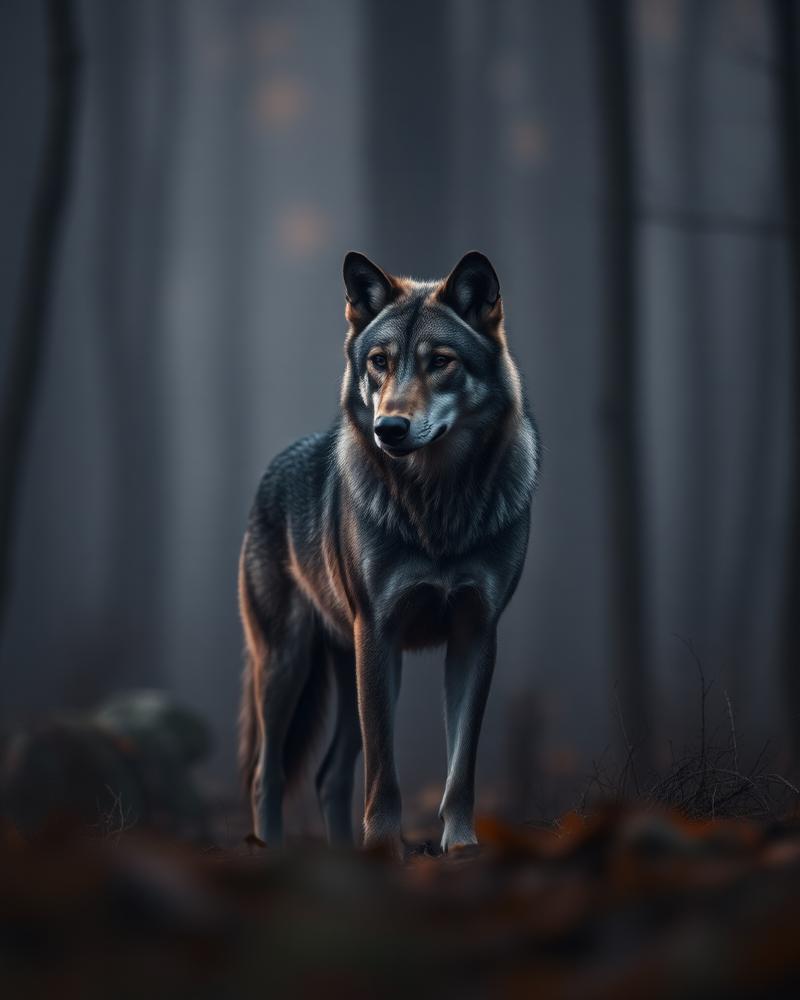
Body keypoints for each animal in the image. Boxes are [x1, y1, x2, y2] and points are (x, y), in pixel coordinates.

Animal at [238, 251, 539, 855]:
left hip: (346, 662)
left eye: (441, 362)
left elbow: (461, 768)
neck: (438, 511)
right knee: (269, 773)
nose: (389, 429)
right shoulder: (378, 633)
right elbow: (384, 770)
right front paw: (383, 848)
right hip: (288, 664)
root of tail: (276, 462)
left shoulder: (475, 634)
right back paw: (271, 850)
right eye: (380, 362)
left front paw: (461, 848)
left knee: (329, 775)